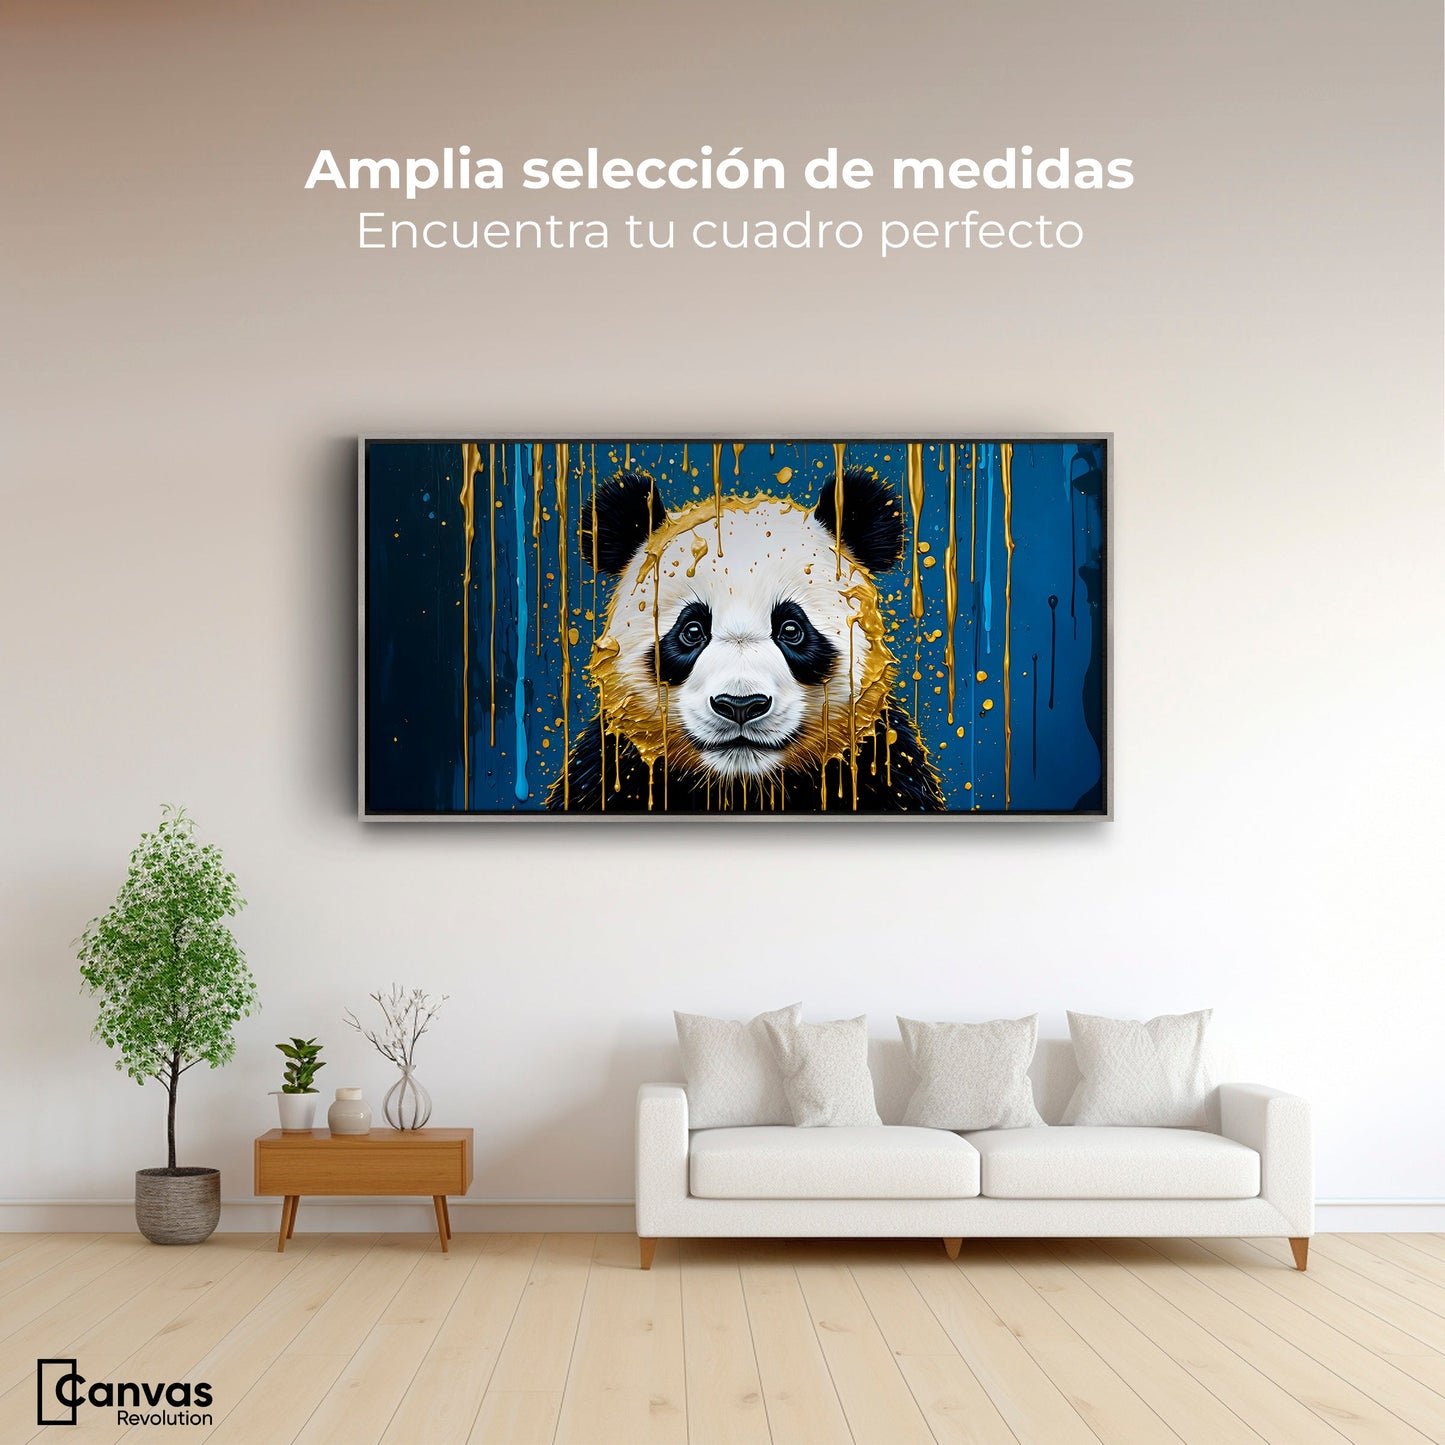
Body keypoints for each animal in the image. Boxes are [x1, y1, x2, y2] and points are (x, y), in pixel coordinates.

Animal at [547, 465, 944, 813]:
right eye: (692, 631)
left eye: (791, 630)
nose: (740, 706)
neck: (742, 784)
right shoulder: (611, 766)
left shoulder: (880, 761)